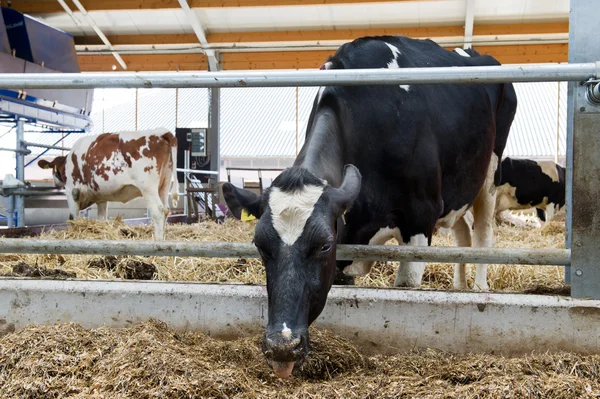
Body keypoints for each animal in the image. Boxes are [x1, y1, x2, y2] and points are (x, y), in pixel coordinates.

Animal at [37, 130, 177, 239]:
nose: (55, 182)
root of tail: (162, 133)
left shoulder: (72, 191)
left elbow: (73, 218)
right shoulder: (101, 197)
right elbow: (101, 218)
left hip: (148, 188)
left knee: (158, 212)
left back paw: (158, 240)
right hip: (164, 185)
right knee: (166, 210)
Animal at [220, 36, 516, 382]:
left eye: (324, 245)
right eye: (259, 244)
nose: (282, 347)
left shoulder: (420, 216)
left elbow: (407, 285)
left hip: (490, 172)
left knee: (483, 232)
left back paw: (480, 287)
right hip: (457, 191)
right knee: (463, 233)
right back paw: (461, 287)